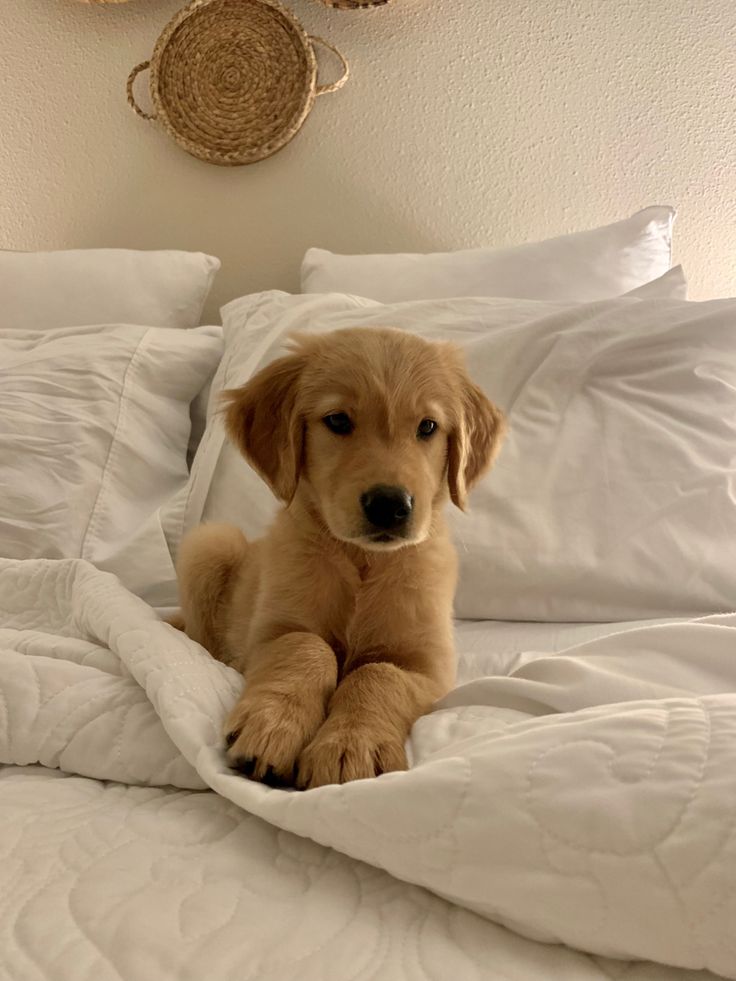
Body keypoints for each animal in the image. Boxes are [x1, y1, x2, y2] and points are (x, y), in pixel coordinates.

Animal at [175, 330, 506, 788]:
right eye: (337, 421)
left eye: (427, 427)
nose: (389, 505)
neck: (363, 561)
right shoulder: (267, 634)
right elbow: (307, 646)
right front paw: (272, 726)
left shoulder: (428, 667)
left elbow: (378, 674)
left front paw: (352, 744)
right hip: (210, 543)